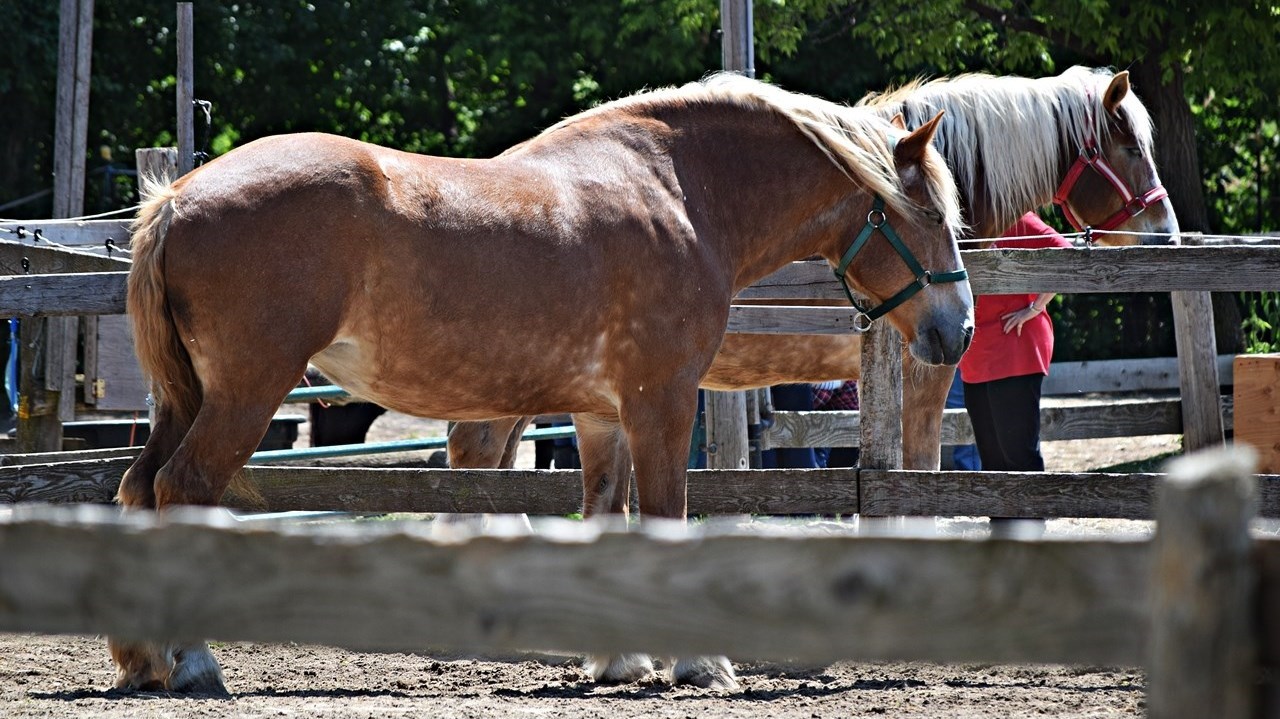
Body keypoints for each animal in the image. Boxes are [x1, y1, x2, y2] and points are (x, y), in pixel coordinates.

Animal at [115, 73, 972, 694]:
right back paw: (194, 660)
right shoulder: (662, 400)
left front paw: (618, 658)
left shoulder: (601, 415)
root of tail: (177, 197)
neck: (679, 190)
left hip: (188, 398)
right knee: (184, 487)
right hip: (246, 393)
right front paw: (697, 660)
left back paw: (143, 658)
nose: (956, 329)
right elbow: (664, 516)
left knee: (140, 487)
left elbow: (605, 518)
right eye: (929, 213)